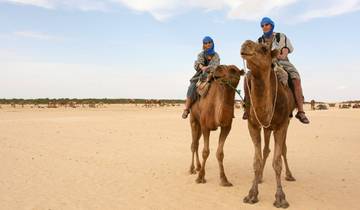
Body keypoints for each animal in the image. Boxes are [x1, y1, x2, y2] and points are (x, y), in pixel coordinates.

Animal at [240, 39, 296, 208]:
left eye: (264, 48)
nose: (245, 45)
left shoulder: (281, 125)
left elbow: (277, 162)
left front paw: (281, 198)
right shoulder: (253, 125)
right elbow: (256, 161)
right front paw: (251, 194)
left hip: (286, 122)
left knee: (283, 149)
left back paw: (289, 175)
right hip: (267, 127)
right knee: (266, 149)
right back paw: (259, 178)